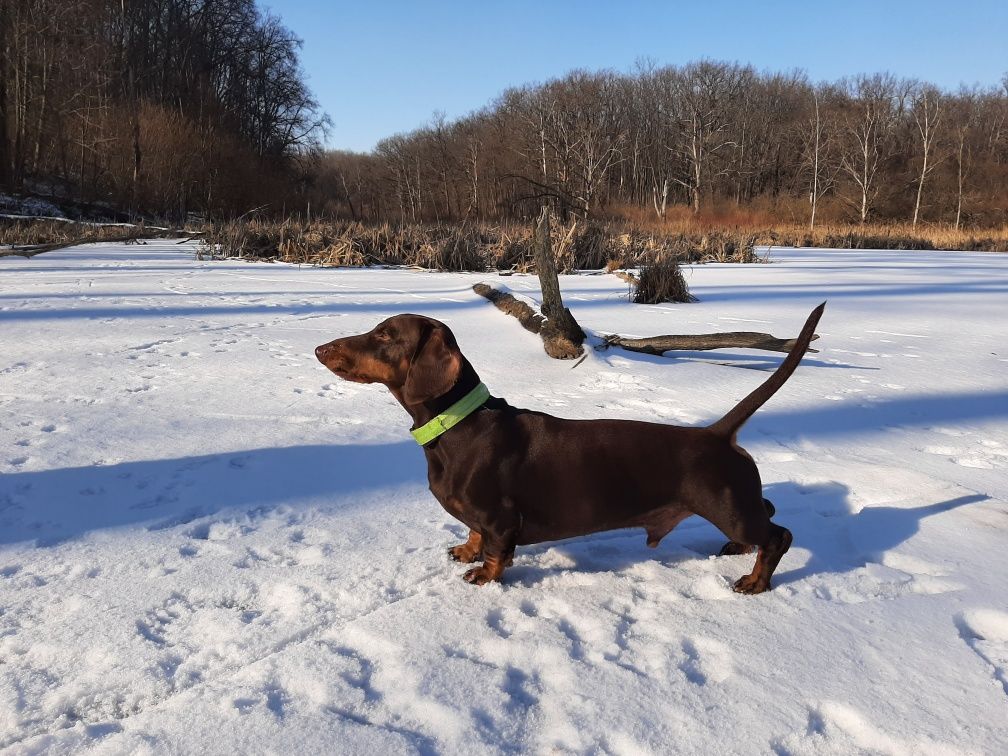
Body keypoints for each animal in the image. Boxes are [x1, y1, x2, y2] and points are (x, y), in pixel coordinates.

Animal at [316, 304, 826, 596]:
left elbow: (497, 550)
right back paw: (739, 550)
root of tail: (716, 434)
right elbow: (474, 534)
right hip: (736, 505)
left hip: (728, 506)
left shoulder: (501, 518)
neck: (457, 426)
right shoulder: (479, 518)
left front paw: (484, 575)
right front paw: (466, 550)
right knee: (764, 516)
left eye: (385, 335)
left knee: (778, 535)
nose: (320, 349)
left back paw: (756, 581)